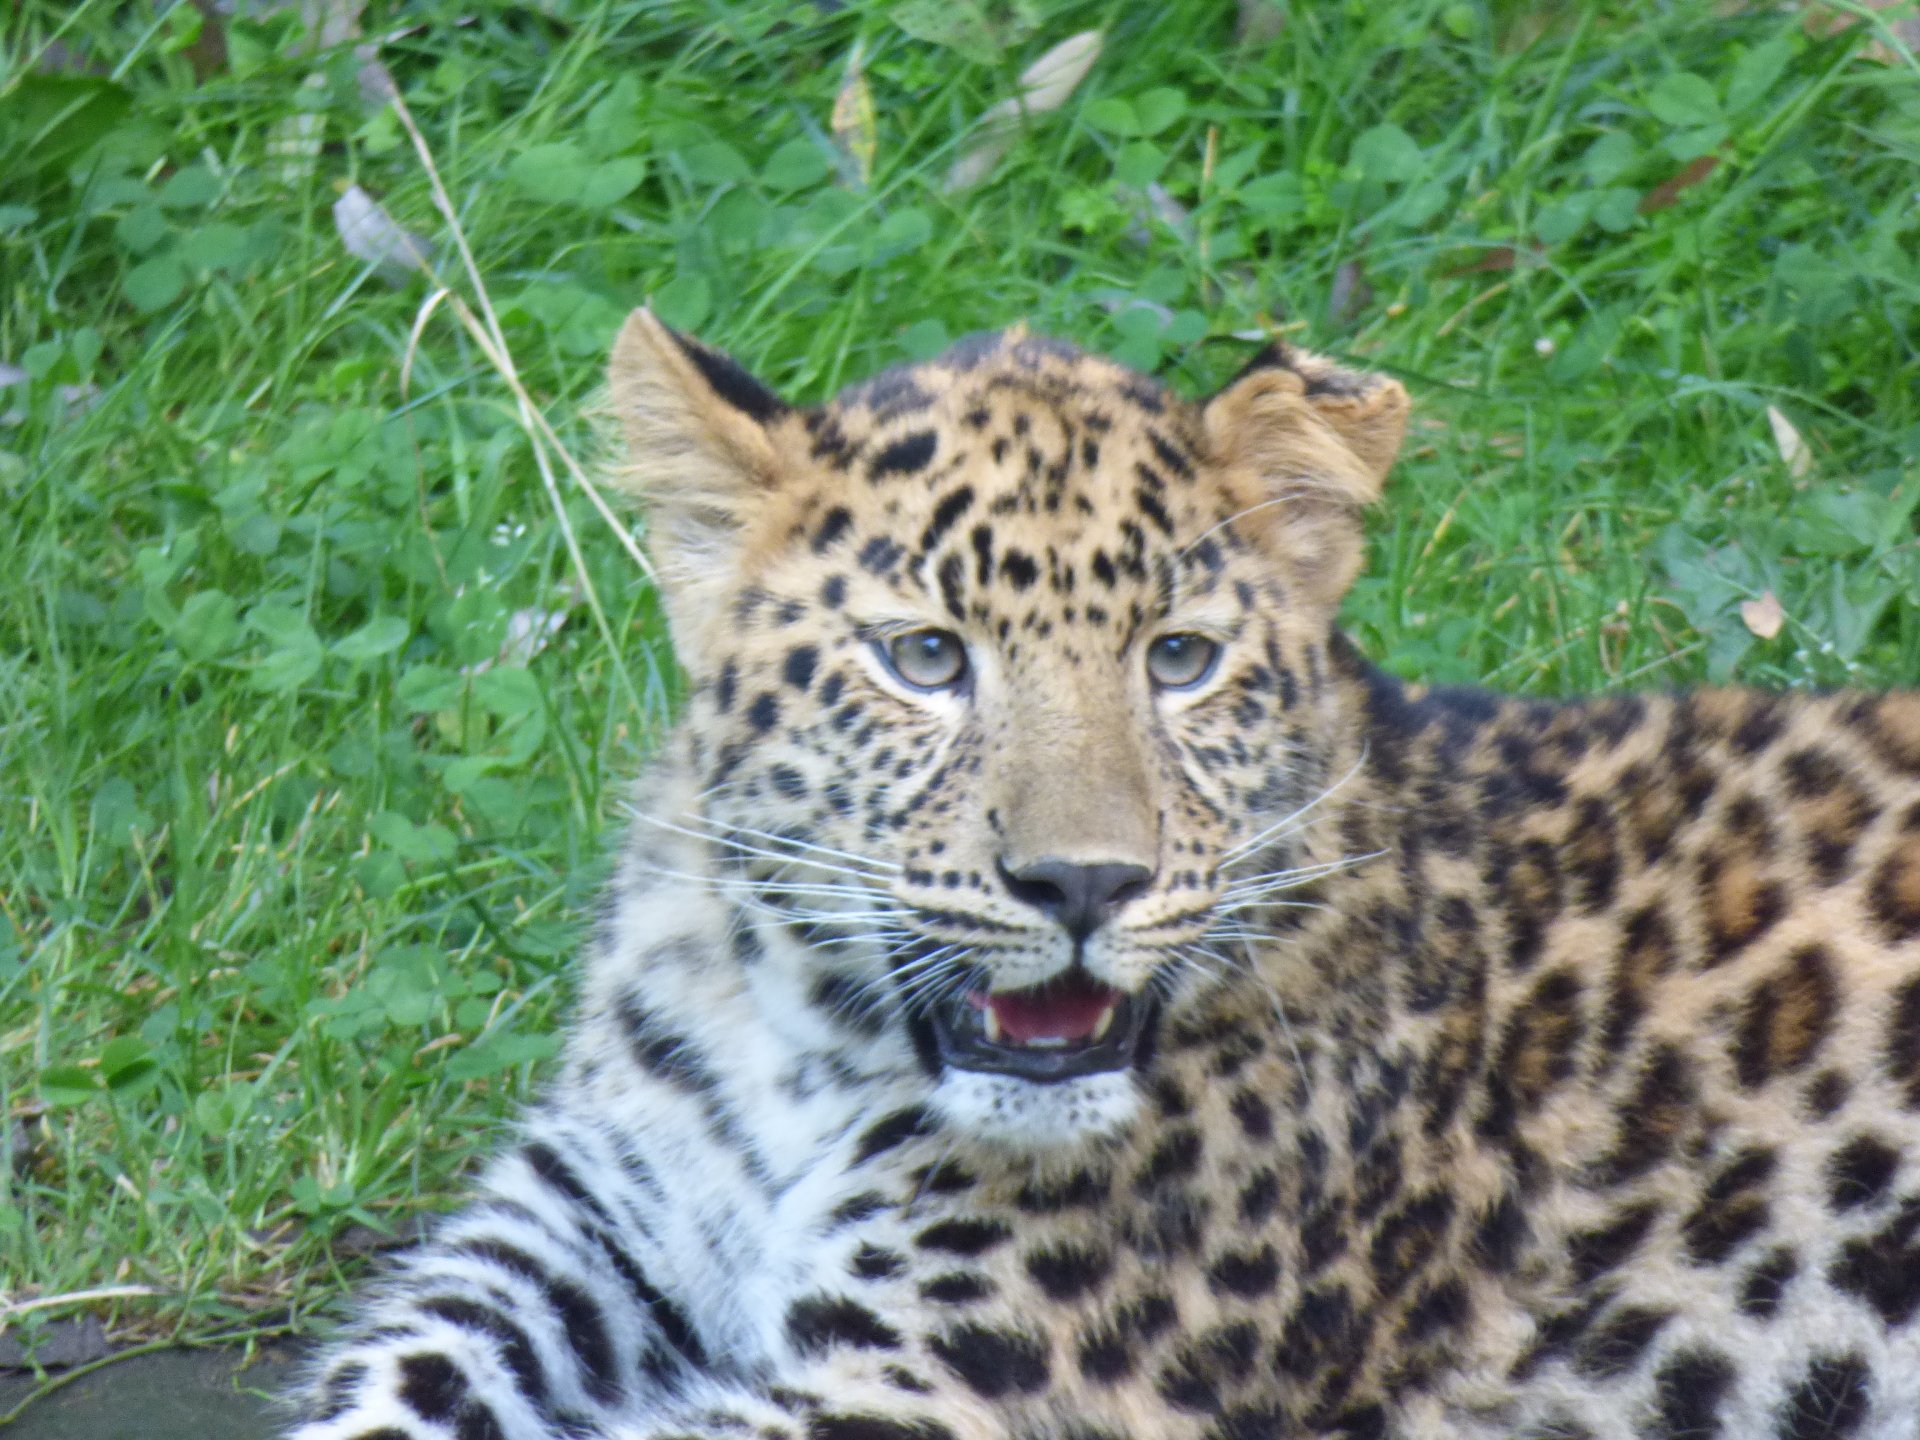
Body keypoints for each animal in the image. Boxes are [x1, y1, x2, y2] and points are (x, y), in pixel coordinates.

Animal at [287, 312, 1920, 1440]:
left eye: (1179, 660)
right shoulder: (579, 1226)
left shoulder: (960, 1390)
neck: (797, 1046)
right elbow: (395, 1369)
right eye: (926, 658)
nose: (1081, 884)